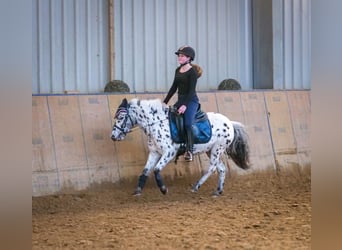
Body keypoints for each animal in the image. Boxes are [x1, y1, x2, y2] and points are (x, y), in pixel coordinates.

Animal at [111, 98, 250, 196]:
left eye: (121, 117)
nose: (113, 136)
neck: (156, 124)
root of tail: (230, 123)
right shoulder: (154, 152)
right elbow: (145, 171)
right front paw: (137, 191)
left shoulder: (169, 153)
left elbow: (156, 170)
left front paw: (163, 189)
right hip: (210, 150)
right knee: (221, 168)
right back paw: (217, 191)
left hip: (217, 149)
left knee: (211, 168)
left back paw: (196, 187)